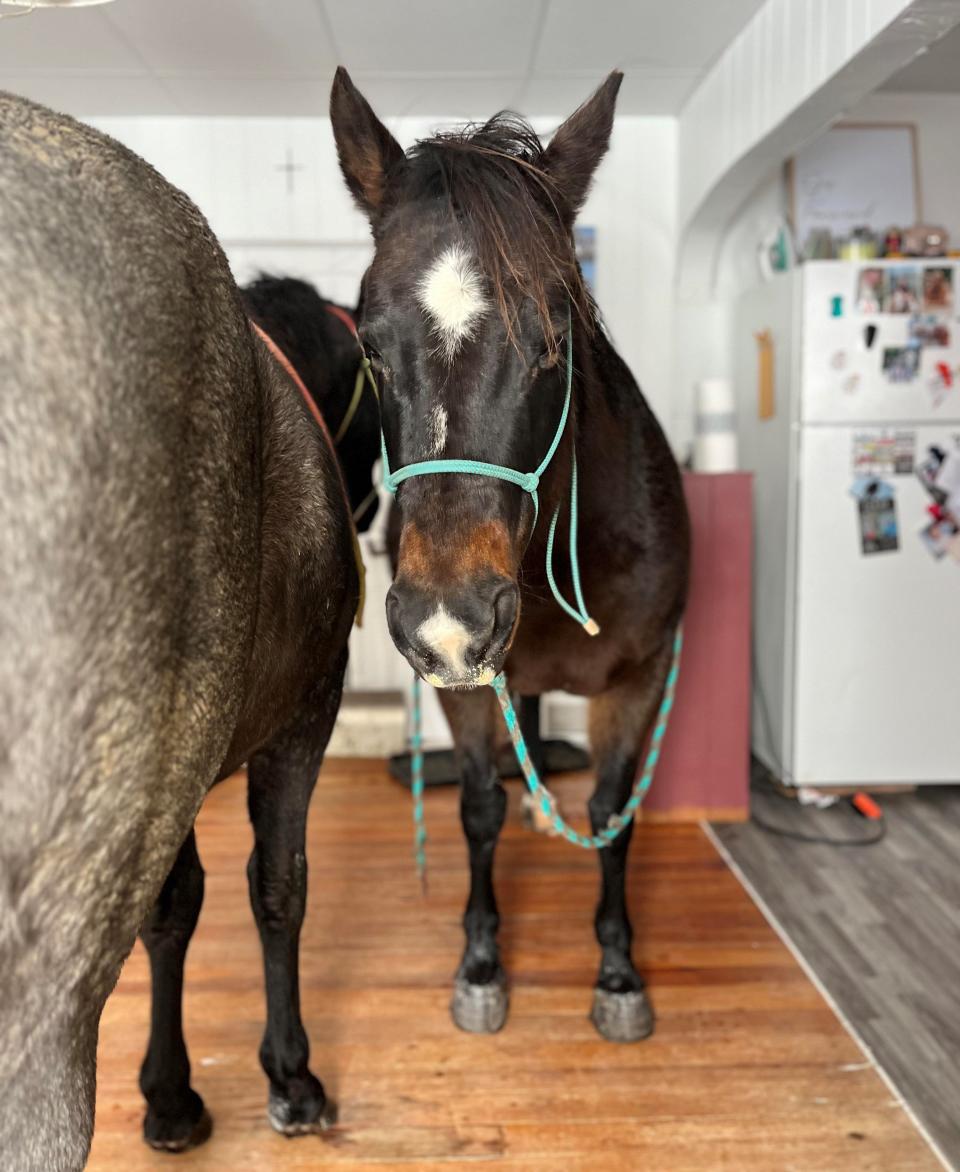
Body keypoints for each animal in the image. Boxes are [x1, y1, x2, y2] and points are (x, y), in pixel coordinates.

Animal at [332, 68, 689, 1045]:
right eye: (368, 345)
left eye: (556, 337)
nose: (448, 623)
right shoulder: (463, 688)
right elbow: (478, 806)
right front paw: (482, 960)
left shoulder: (643, 677)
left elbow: (614, 815)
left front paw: (617, 973)